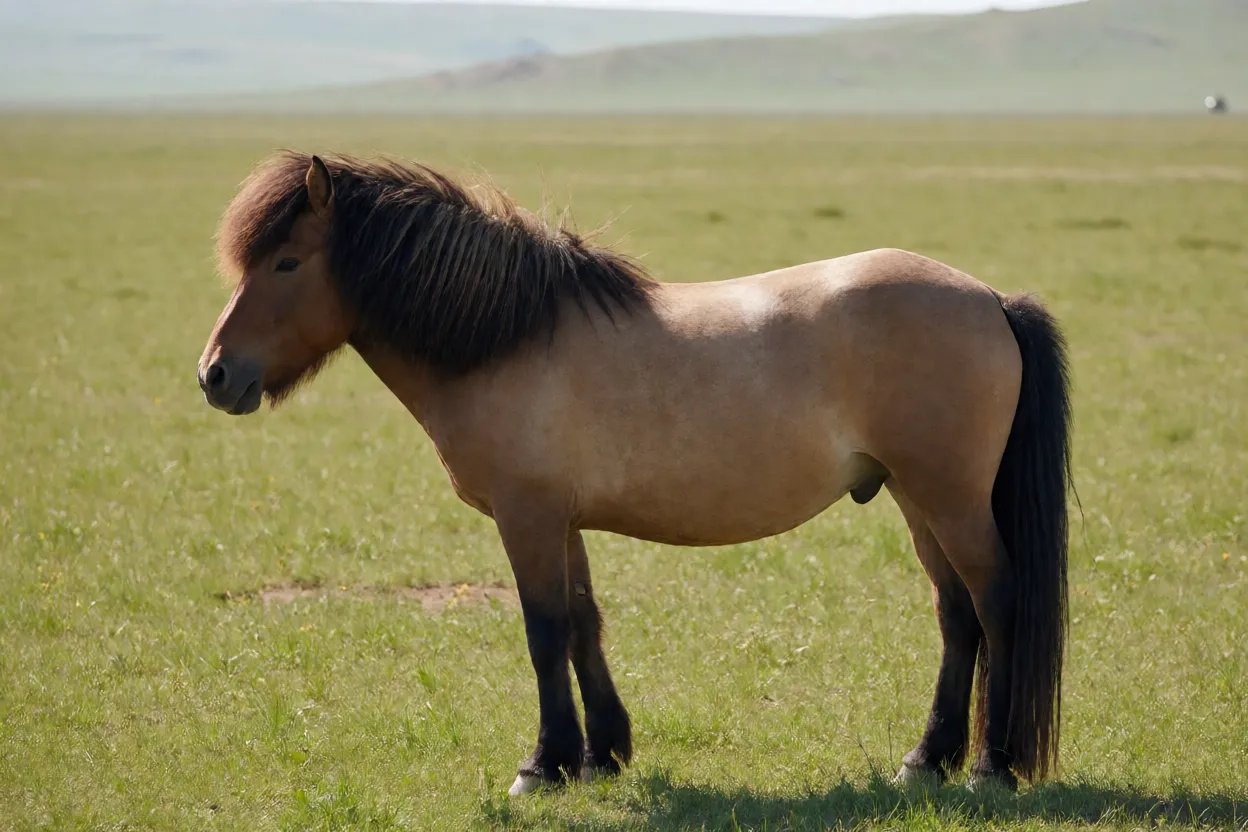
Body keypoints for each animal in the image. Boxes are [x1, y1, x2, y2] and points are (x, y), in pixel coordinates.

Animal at [197, 152, 1073, 796]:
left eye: (285, 262)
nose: (215, 375)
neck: (507, 337)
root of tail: (990, 300)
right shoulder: (561, 522)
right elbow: (584, 623)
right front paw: (601, 756)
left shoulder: (526, 517)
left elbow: (544, 630)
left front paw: (543, 765)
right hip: (915, 498)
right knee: (955, 614)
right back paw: (926, 760)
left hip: (950, 498)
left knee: (996, 602)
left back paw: (992, 768)